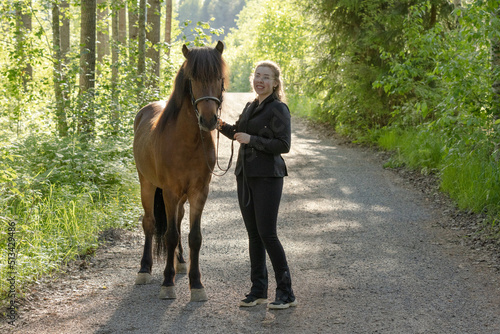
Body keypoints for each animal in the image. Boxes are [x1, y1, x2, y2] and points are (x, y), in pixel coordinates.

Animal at [133, 40, 227, 302]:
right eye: (192, 78)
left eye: (219, 77)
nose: (208, 119)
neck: (187, 141)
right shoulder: (169, 192)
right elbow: (170, 235)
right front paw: (167, 283)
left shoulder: (199, 192)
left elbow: (194, 236)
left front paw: (196, 284)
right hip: (147, 185)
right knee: (150, 223)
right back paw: (144, 269)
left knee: (178, 219)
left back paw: (181, 261)